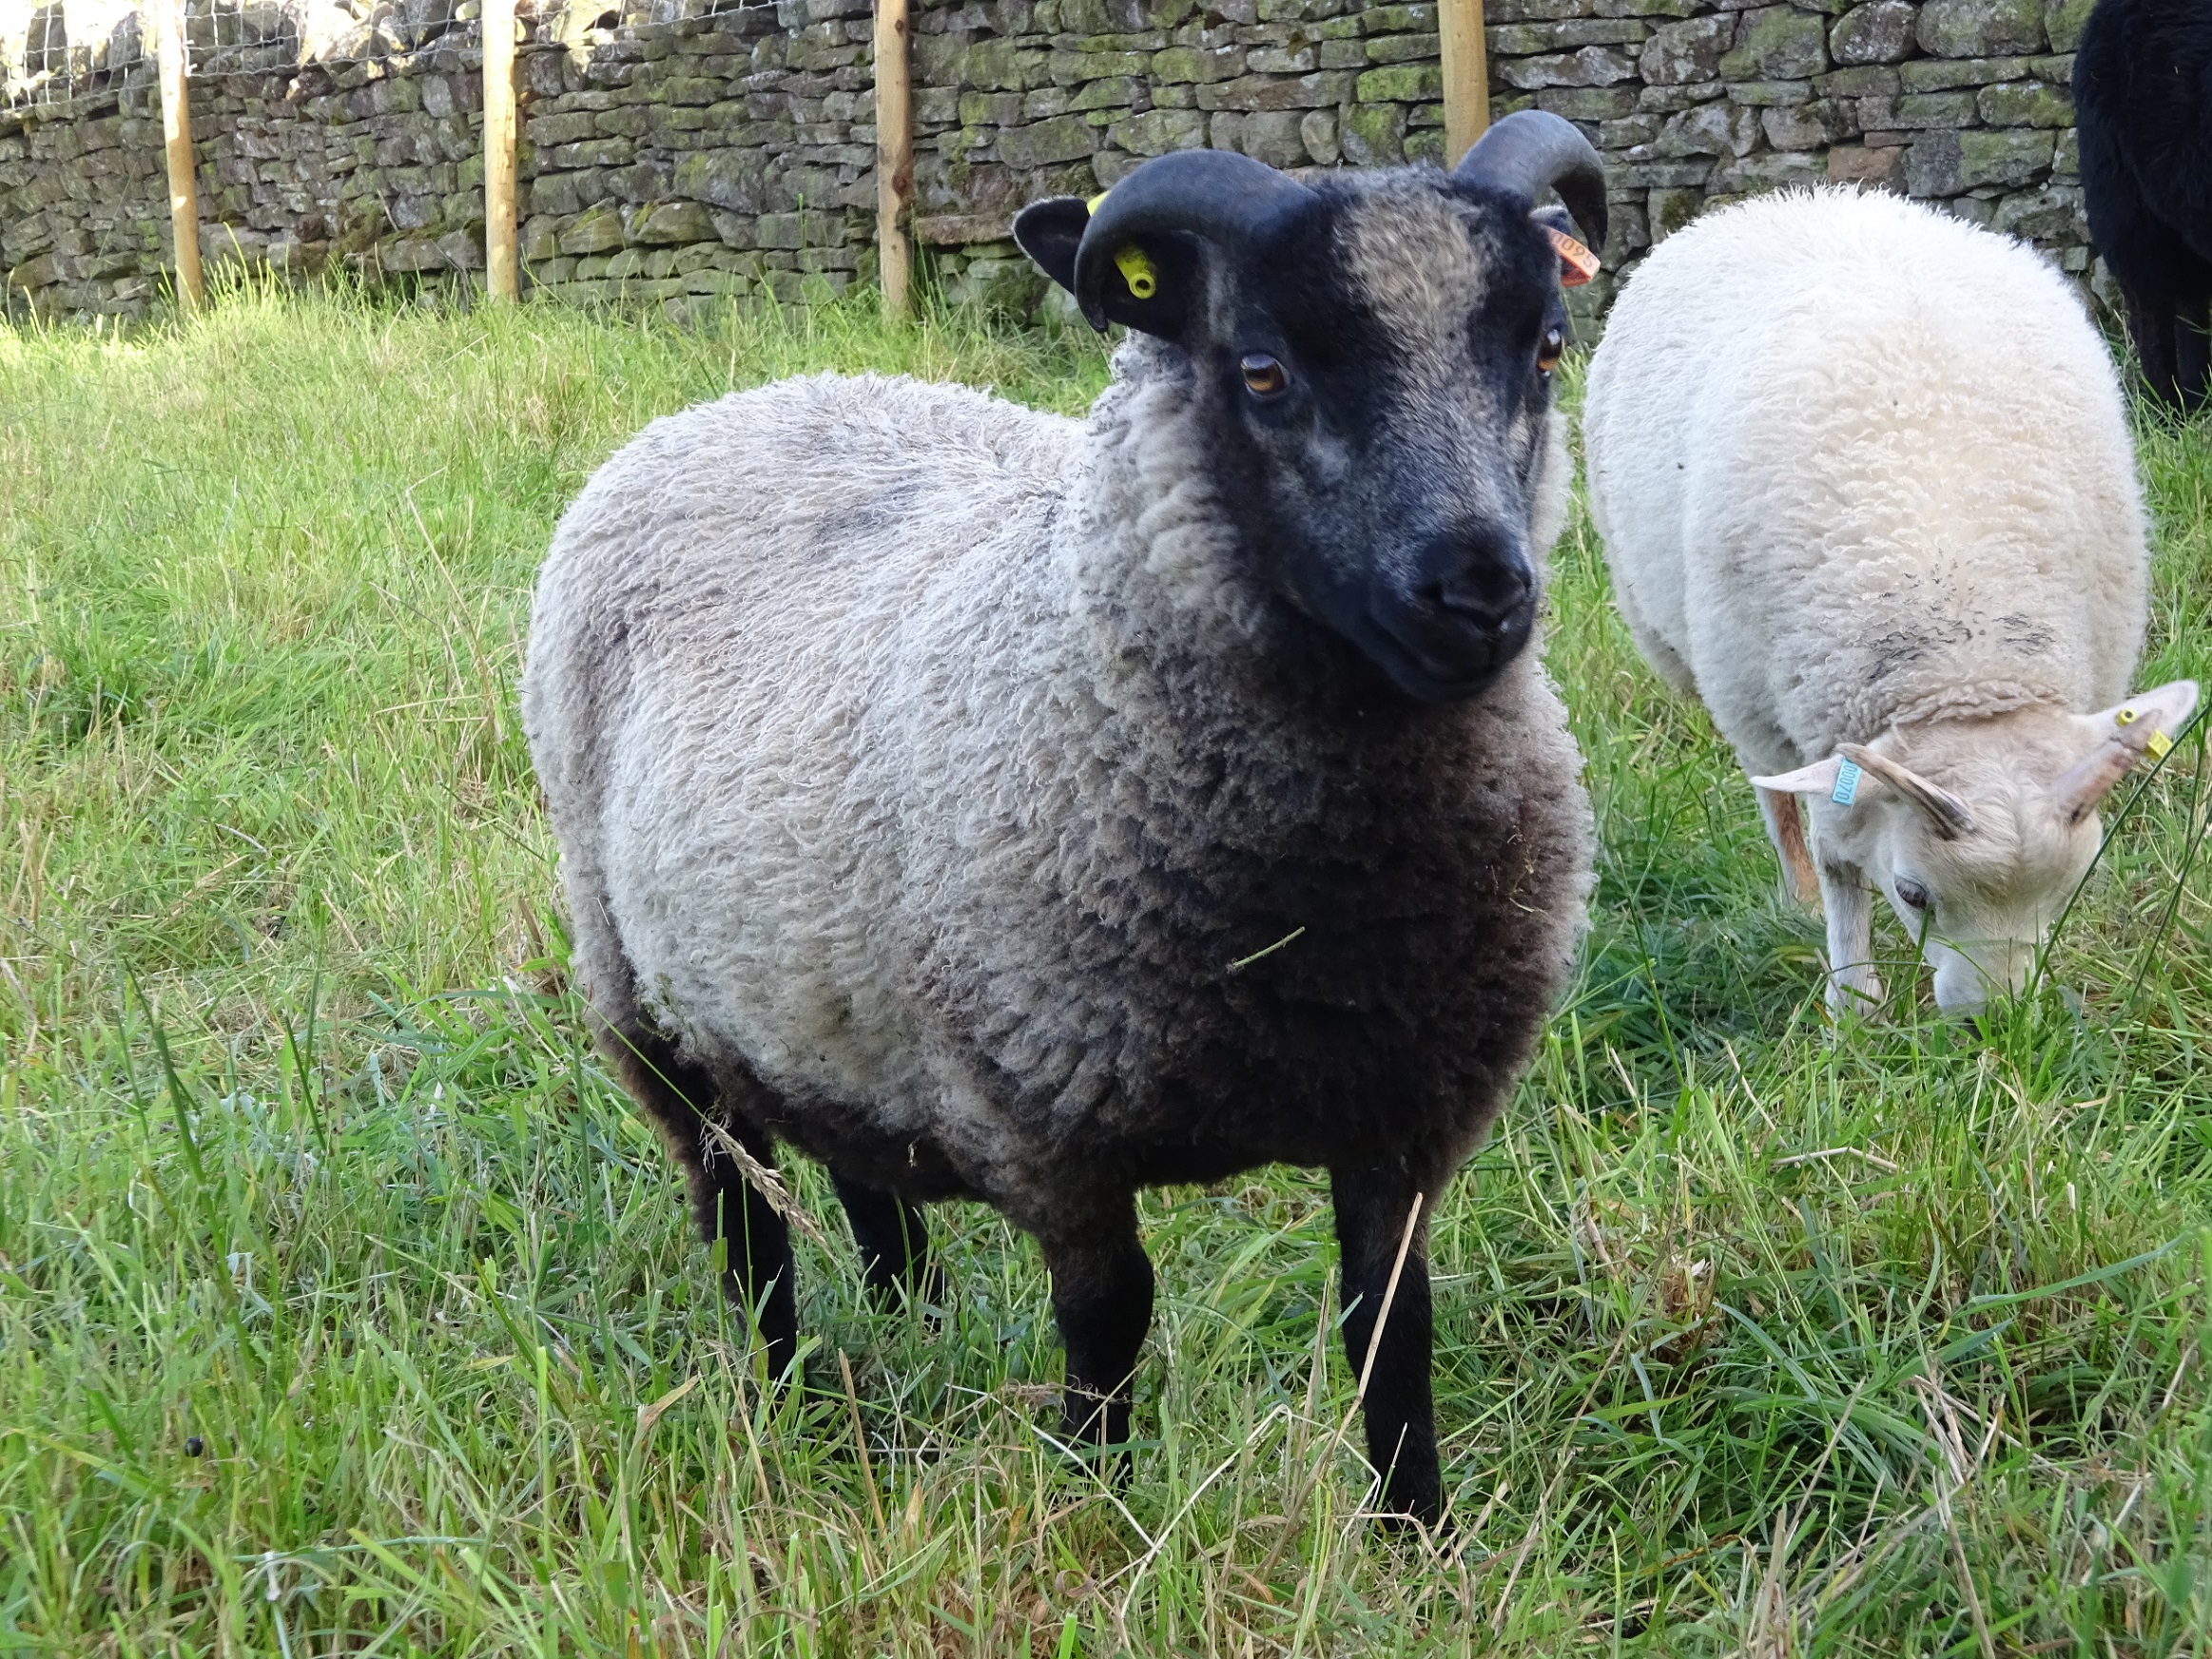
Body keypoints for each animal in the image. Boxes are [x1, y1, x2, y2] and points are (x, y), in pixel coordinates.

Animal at [520, 111, 1609, 1524]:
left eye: (1545, 346)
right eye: (1263, 371)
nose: (1478, 589)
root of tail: (757, 392)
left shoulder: (1409, 1116)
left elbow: (1392, 1328)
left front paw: (1414, 1538)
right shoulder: (1044, 1125)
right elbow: (1109, 1322)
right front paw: (1102, 1508)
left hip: (812, 974)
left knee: (857, 1166)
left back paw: (908, 1321)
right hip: (642, 1001)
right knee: (741, 1214)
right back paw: (784, 1398)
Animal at [1583, 187, 2195, 1017]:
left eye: (2073, 887)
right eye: (1912, 892)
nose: (1995, 1025)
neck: (1963, 653)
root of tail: (1806, 195)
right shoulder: (1807, 724)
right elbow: (1838, 857)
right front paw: (1854, 998)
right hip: (1722, 676)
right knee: (1774, 801)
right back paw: (1798, 897)